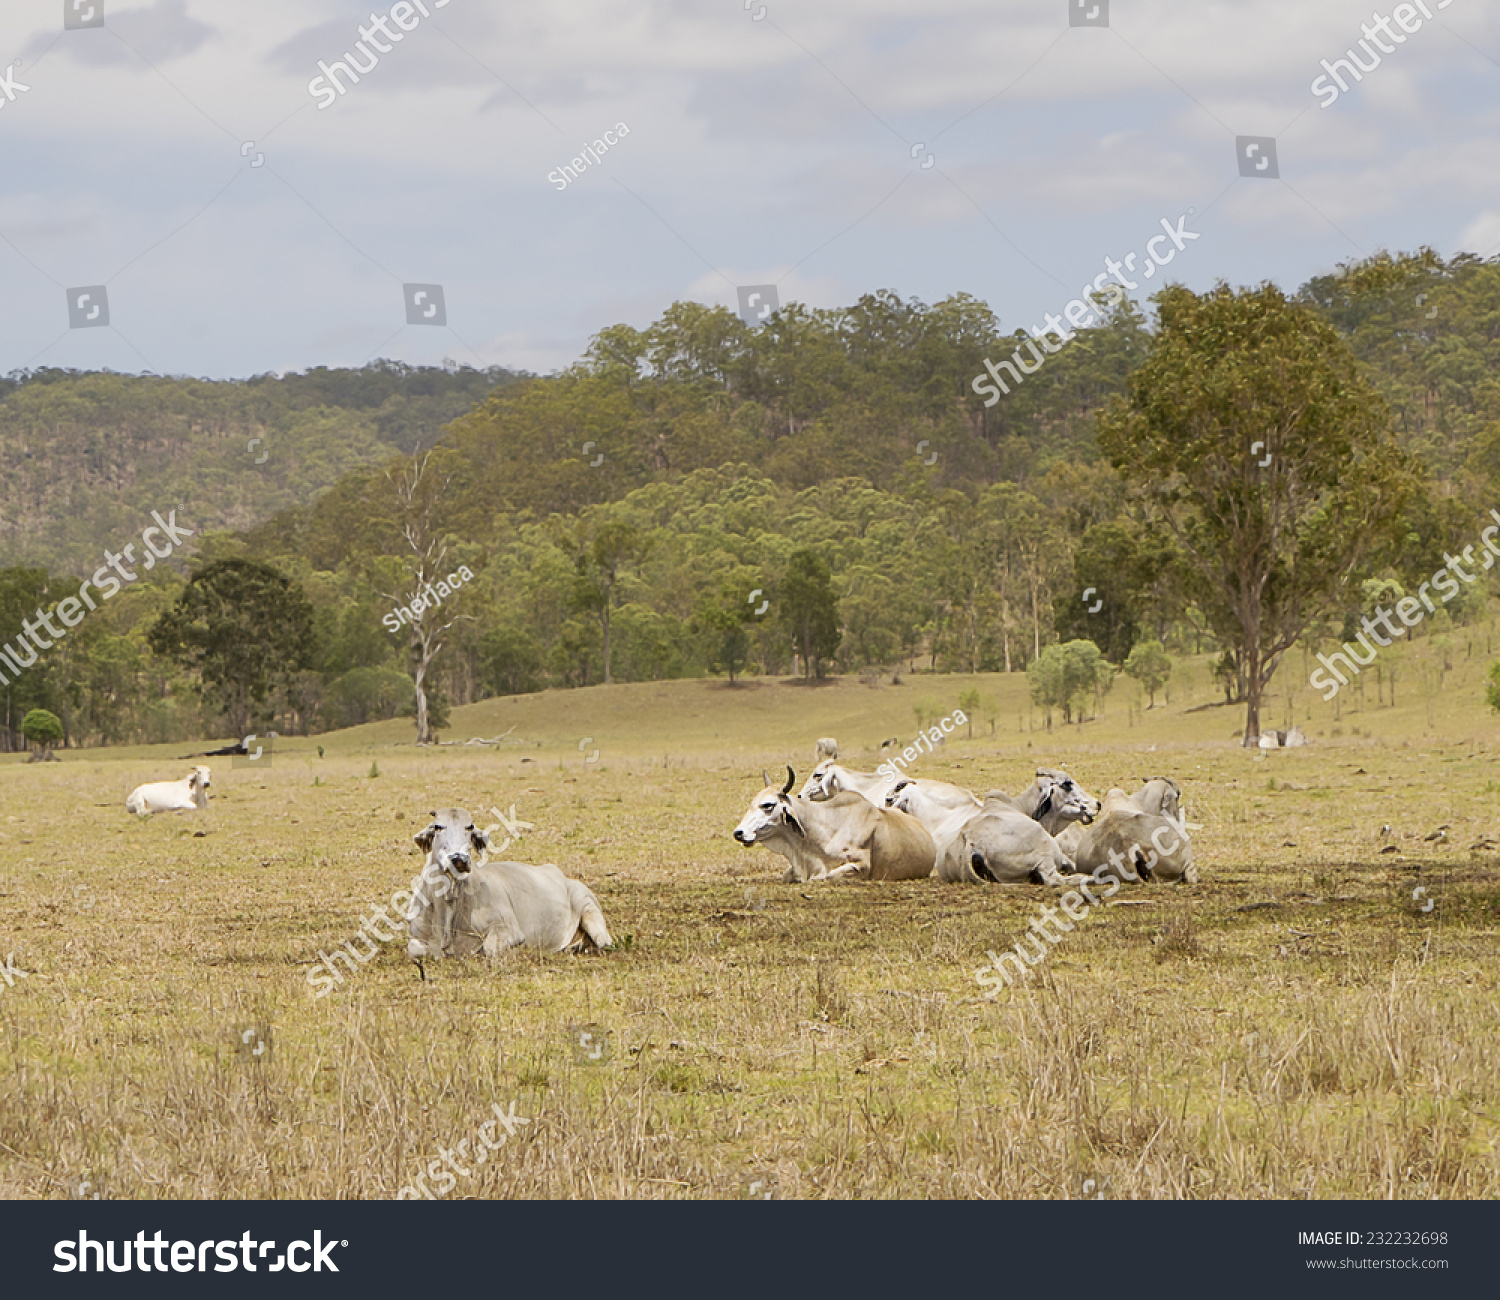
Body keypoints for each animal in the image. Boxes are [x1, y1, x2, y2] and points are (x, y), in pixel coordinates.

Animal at [408, 809, 612, 971]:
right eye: (437, 827)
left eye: (470, 827)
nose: (459, 859)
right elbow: (416, 950)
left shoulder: (508, 929)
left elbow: (489, 948)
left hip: (588, 906)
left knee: (604, 942)